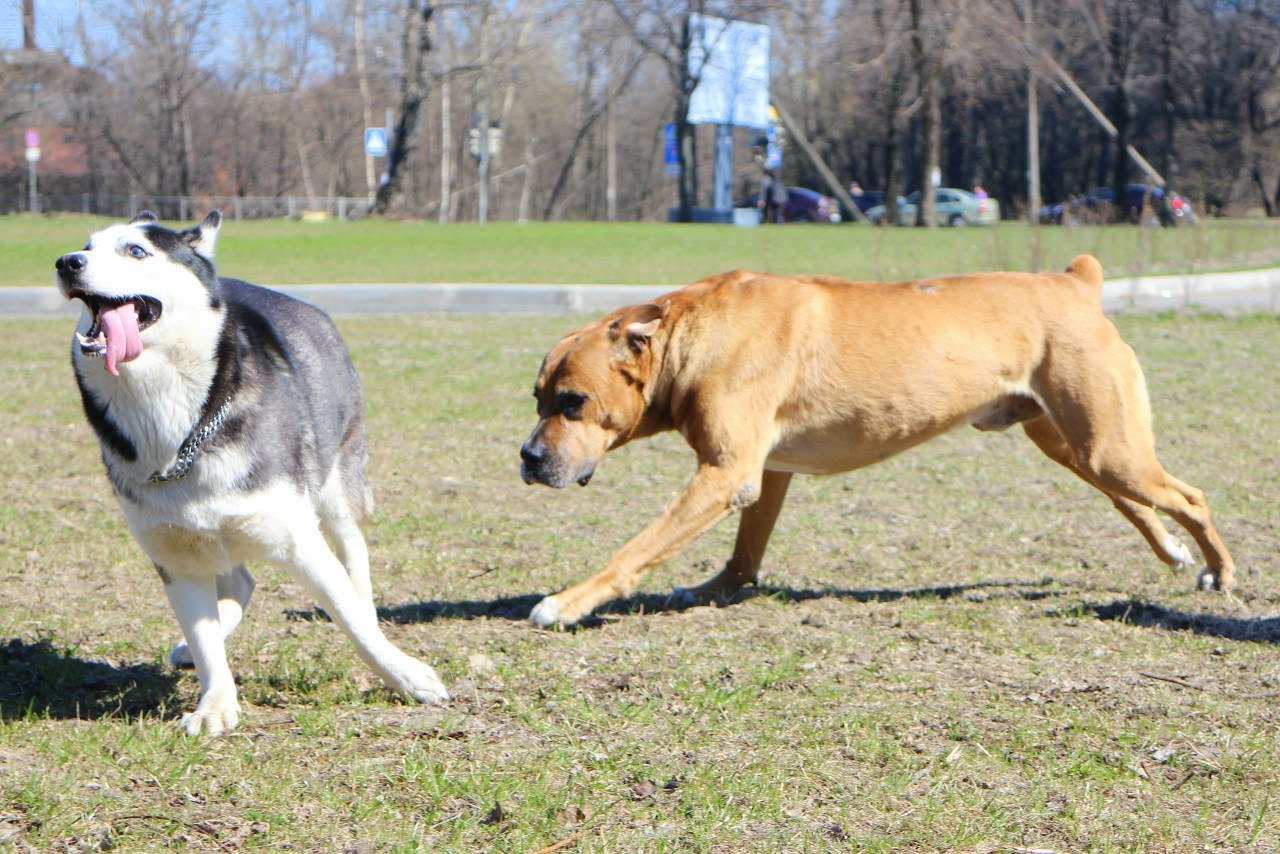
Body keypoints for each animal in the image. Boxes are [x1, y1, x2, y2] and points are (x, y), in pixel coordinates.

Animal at [60, 213, 450, 737]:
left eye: (136, 251)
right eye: (86, 246)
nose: (66, 263)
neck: (184, 430)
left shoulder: (299, 537)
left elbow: (350, 618)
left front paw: (407, 677)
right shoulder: (176, 554)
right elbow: (204, 639)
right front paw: (215, 704)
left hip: (336, 486)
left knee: (354, 556)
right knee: (240, 584)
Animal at [514, 256, 1233, 627]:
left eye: (573, 403)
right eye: (538, 399)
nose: (528, 458)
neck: (692, 335)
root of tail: (1076, 279)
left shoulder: (723, 474)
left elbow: (632, 553)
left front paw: (567, 603)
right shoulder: (764, 474)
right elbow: (747, 551)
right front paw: (720, 588)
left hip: (1107, 447)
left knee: (1191, 497)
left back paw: (1219, 573)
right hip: (1078, 445)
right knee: (1135, 500)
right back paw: (1173, 554)